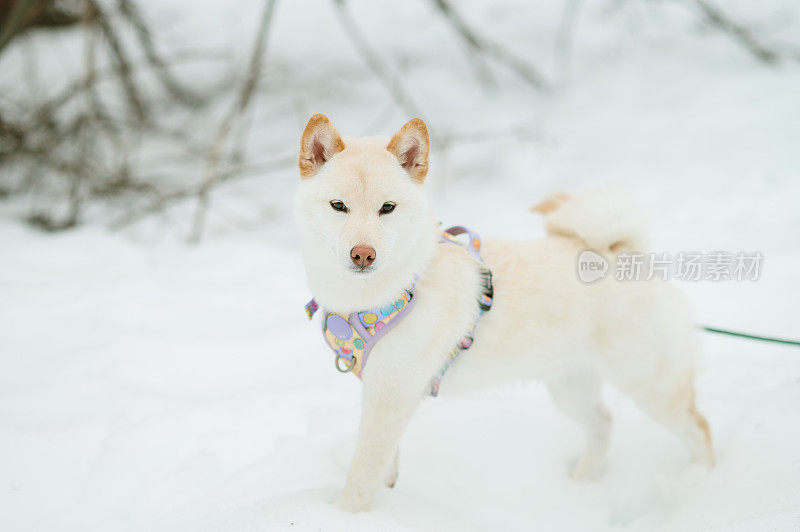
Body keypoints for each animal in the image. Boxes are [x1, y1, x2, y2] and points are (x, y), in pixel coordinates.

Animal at [292, 115, 712, 512]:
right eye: (338, 206)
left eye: (387, 208)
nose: (363, 254)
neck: (392, 290)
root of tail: (626, 254)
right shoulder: (386, 392)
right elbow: (385, 465)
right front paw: (388, 495)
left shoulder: (390, 397)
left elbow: (362, 473)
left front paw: (345, 513)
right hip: (569, 385)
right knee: (604, 424)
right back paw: (583, 481)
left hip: (652, 386)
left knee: (699, 430)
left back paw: (700, 484)